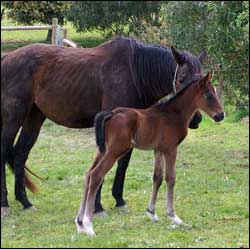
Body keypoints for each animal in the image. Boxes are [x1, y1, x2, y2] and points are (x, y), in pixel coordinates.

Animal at [0, 36, 206, 215]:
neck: (133, 72)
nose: (195, 120)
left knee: (20, 154)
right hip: (13, 119)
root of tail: (7, 57)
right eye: (181, 78)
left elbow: (123, 163)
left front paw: (119, 200)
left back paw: (25, 202)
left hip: (34, 117)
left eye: (203, 81)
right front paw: (97, 207)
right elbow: (103, 165)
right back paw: (5, 204)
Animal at [75, 71, 226, 235]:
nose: (221, 115)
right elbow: (170, 178)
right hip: (115, 150)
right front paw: (173, 216)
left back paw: (80, 223)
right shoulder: (171, 149)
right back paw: (89, 225)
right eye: (209, 95)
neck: (173, 114)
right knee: (96, 175)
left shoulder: (158, 150)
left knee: (88, 175)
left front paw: (152, 213)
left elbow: (157, 178)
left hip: (102, 150)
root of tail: (111, 113)